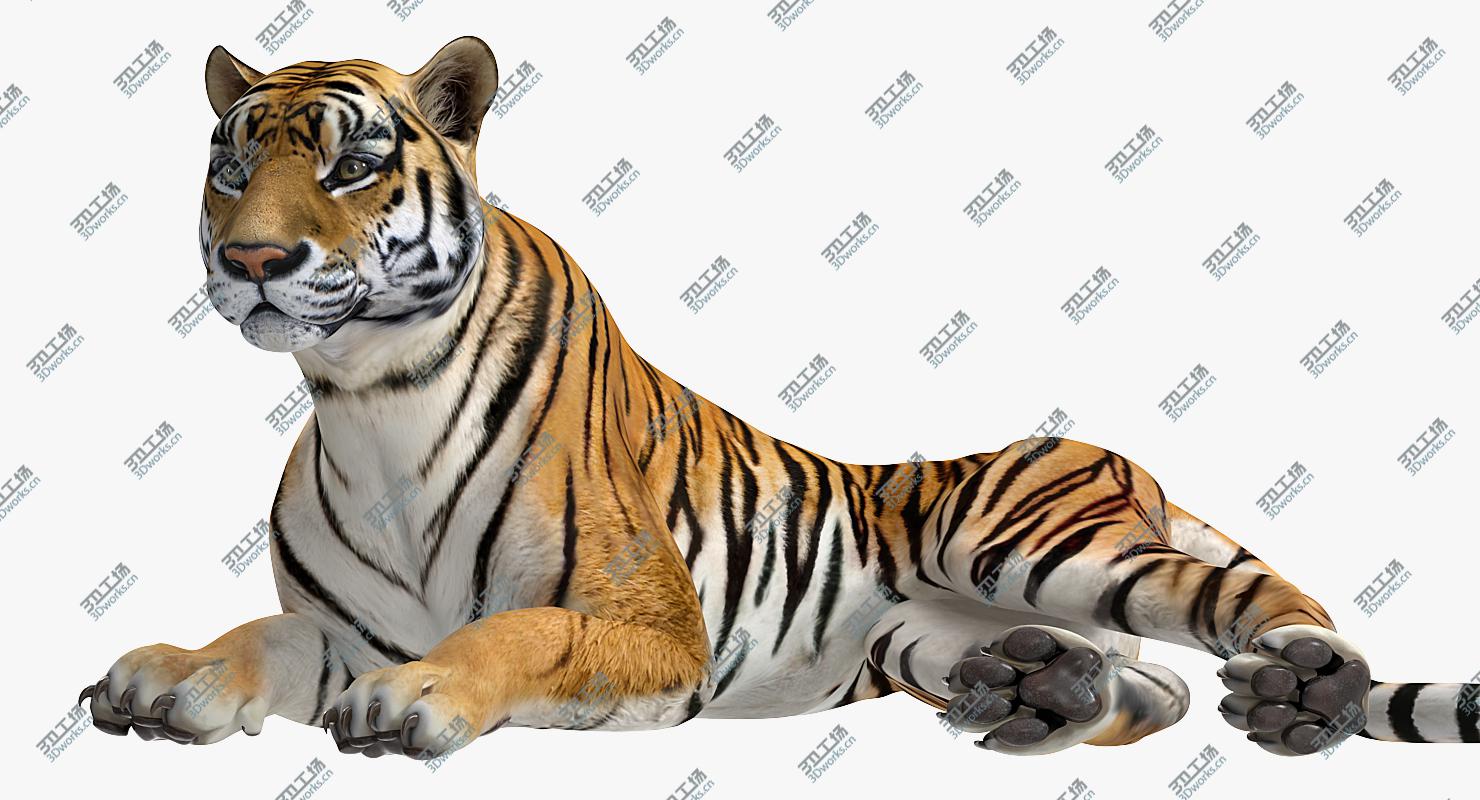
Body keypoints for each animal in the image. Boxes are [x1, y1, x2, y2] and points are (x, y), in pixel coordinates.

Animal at [78, 36, 1478, 766]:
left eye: (353, 167)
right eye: (231, 167)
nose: (254, 259)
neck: (369, 397)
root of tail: (1116, 453)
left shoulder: (652, 621)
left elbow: (517, 630)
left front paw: (415, 702)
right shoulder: (345, 623)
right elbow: (262, 635)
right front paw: (166, 676)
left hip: (1039, 543)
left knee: (1270, 605)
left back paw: (1299, 693)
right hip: (925, 632)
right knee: (1150, 688)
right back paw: (1039, 696)